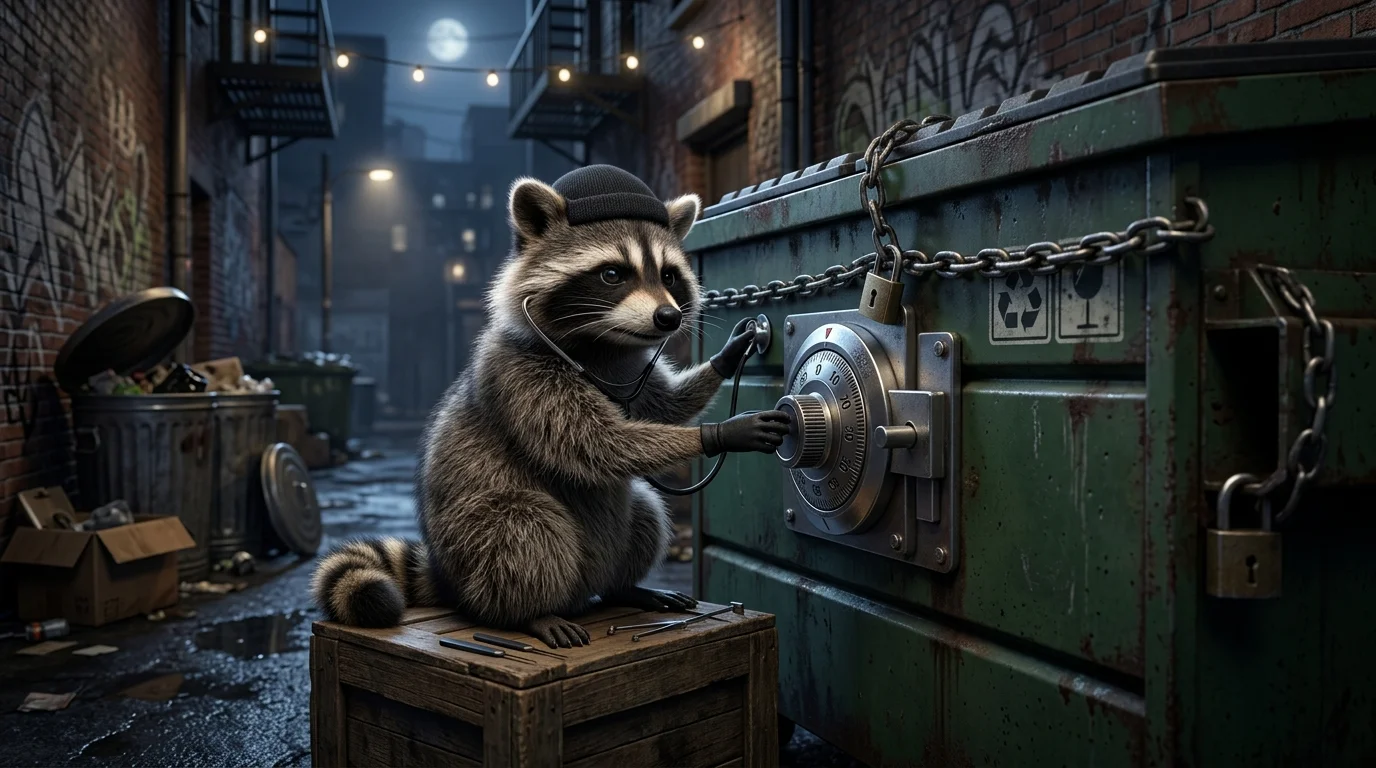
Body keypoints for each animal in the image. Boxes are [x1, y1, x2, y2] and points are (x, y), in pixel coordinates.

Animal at [312, 165, 790, 648]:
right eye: (613, 274)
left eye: (670, 276)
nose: (668, 318)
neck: (601, 343)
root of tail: (450, 581)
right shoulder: (521, 376)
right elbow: (596, 443)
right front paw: (724, 432)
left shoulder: (628, 368)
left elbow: (662, 407)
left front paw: (727, 358)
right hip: (475, 544)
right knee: (525, 527)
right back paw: (530, 613)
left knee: (644, 509)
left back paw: (624, 587)